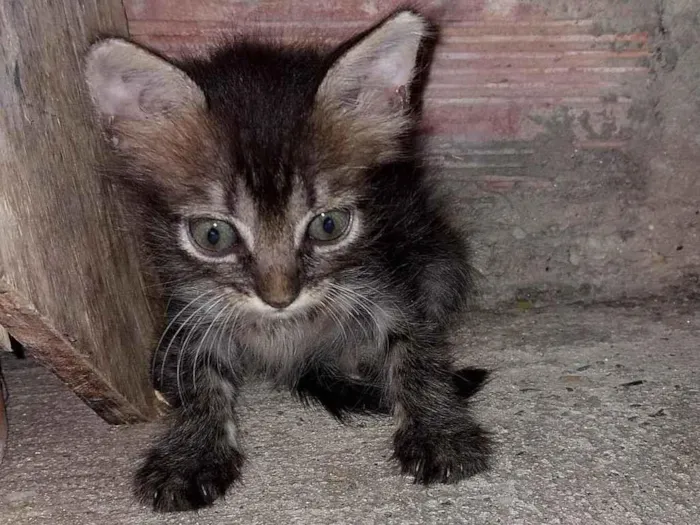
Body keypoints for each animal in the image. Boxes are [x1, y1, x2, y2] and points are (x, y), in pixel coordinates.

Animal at [85, 8, 492, 512]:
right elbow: (195, 380)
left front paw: (438, 430)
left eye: (329, 226)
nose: (280, 297)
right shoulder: (191, 310)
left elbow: (417, 353)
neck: (286, 327)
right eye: (213, 235)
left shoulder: (389, 284)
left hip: (441, 259)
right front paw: (191, 453)